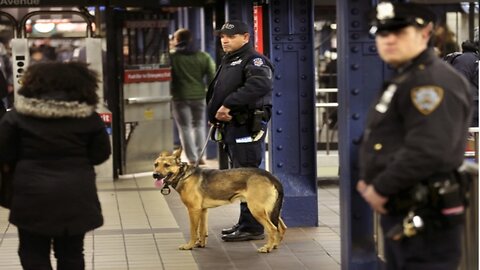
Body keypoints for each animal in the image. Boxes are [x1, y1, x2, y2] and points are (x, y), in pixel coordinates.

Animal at [153, 149, 284, 252]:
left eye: (166, 165)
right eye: (155, 164)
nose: (155, 175)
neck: (183, 175)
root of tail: (270, 176)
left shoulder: (193, 210)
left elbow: (193, 231)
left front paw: (189, 246)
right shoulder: (202, 210)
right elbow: (202, 230)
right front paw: (200, 244)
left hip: (257, 209)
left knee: (272, 228)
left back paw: (267, 248)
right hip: (269, 210)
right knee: (281, 227)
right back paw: (275, 245)